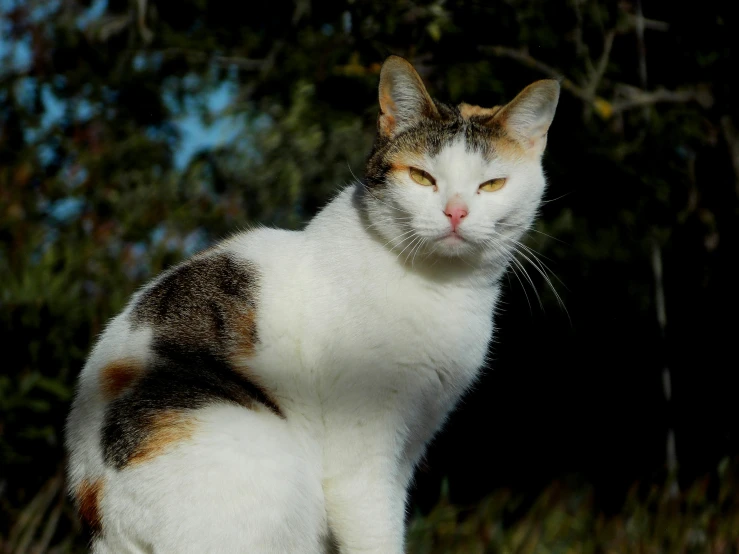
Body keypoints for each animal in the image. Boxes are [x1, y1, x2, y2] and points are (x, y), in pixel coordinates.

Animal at [66, 54, 556, 548]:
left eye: (492, 185)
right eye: (422, 177)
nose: (456, 212)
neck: (443, 287)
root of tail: (101, 514)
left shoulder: (409, 444)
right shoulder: (362, 464)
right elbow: (377, 537)